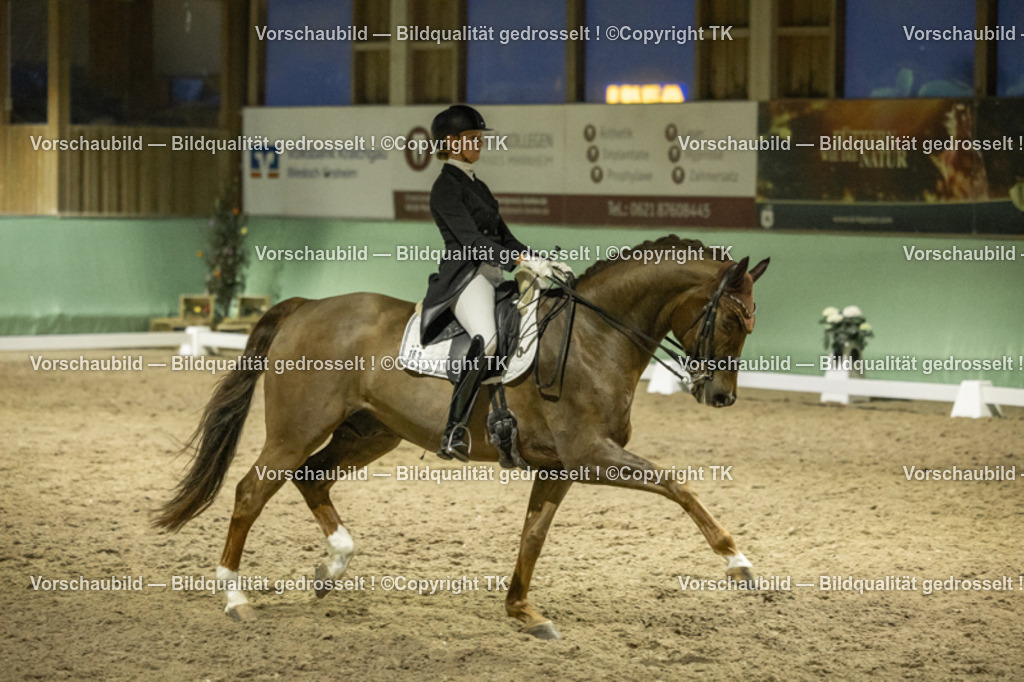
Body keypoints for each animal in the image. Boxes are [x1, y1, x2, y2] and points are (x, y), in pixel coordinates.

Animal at [154, 235, 769, 640]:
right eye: (732, 320)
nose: (720, 397)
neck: (596, 337)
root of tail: (306, 308)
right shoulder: (591, 454)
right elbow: (678, 485)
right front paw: (737, 562)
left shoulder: (559, 467)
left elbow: (533, 536)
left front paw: (522, 612)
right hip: (295, 431)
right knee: (251, 493)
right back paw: (236, 598)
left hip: (370, 434)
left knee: (313, 479)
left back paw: (332, 568)